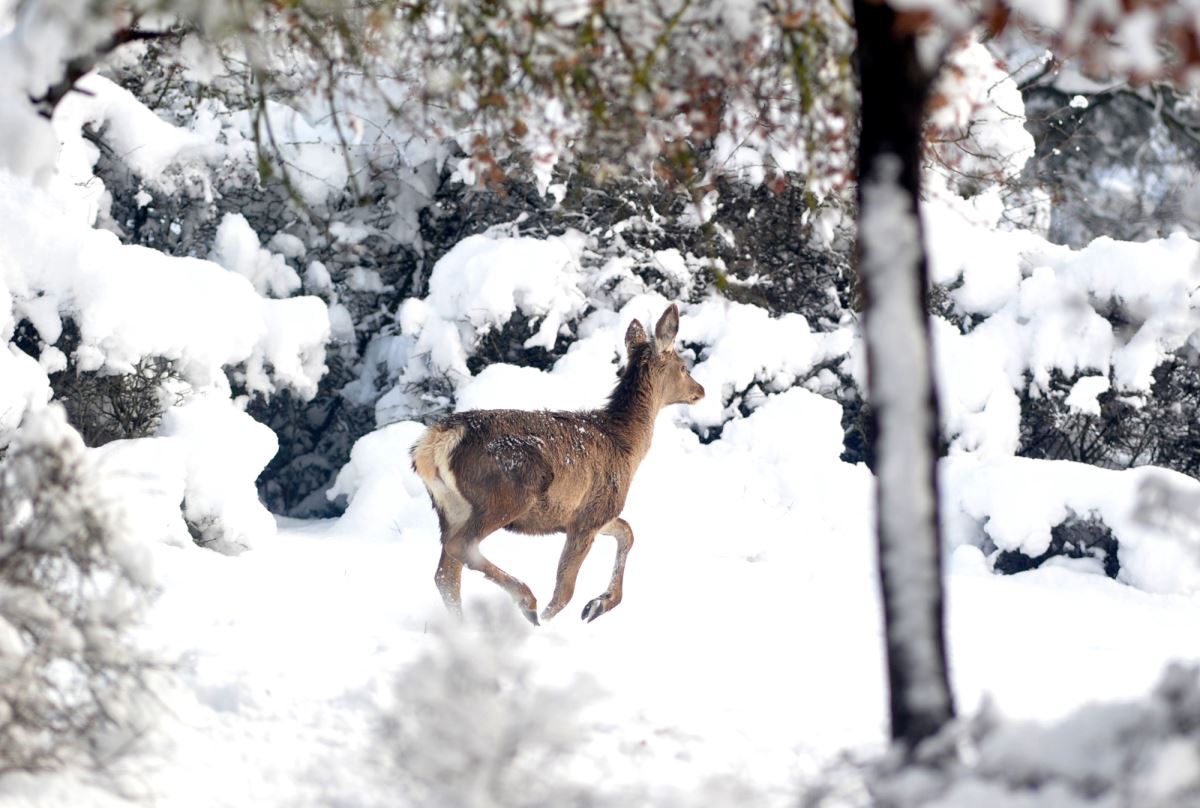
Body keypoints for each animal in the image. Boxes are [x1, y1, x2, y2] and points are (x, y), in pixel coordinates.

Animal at [415, 302, 700, 624]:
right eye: (683, 367)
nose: (701, 390)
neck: (626, 445)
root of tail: (434, 443)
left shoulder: (591, 514)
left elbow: (627, 532)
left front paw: (598, 605)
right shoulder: (590, 516)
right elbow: (565, 590)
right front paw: (552, 619)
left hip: (450, 508)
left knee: (446, 574)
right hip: (505, 494)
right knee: (462, 548)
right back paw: (527, 602)